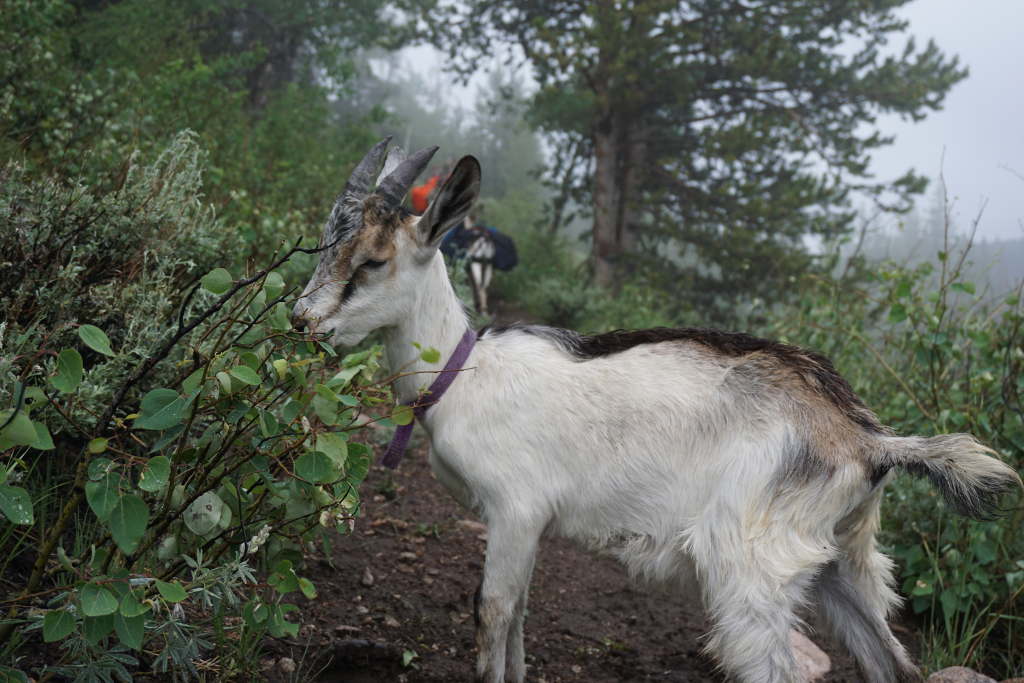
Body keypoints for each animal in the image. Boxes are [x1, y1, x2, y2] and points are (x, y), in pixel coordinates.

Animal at [293, 139, 1022, 683]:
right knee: (894, 663)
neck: (463, 373)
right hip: (846, 559)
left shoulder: (515, 507)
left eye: (373, 261)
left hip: (750, 566)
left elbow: (492, 612)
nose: (302, 322)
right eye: (325, 245)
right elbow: (521, 614)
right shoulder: (526, 525)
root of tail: (865, 441)